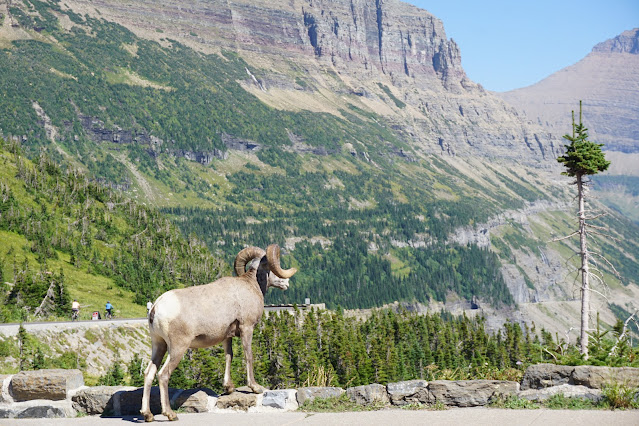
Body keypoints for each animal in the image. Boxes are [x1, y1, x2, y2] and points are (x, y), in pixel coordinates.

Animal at [141, 245, 296, 422]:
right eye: (271, 266)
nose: (286, 283)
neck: (251, 285)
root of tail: (156, 308)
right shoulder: (247, 328)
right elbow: (248, 355)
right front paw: (255, 387)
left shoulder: (226, 336)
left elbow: (229, 356)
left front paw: (229, 388)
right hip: (177, 348)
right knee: (163, 375)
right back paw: (170, 414)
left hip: (158, 345)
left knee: (149, 373)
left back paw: (147, 415)